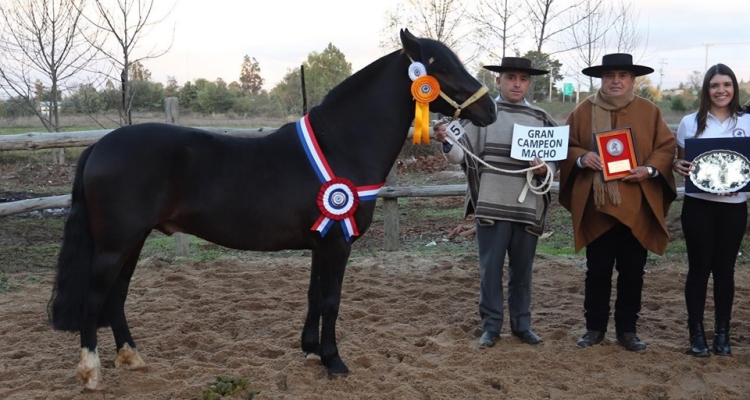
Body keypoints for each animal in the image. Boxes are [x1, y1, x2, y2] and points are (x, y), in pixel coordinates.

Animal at [50, 28, 496, 390]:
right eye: (441, 68)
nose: (489, 110)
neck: (342, 145)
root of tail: (99, 146)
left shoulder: (322, 241)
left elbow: (314, 296)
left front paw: (312, 350)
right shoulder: (337, 244)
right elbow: (331, 300)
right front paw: (334, 362)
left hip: (133, 240)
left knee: (117, 296)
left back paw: (132, 359)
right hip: (116, 243)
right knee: (96, 296)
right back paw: (91, 373)